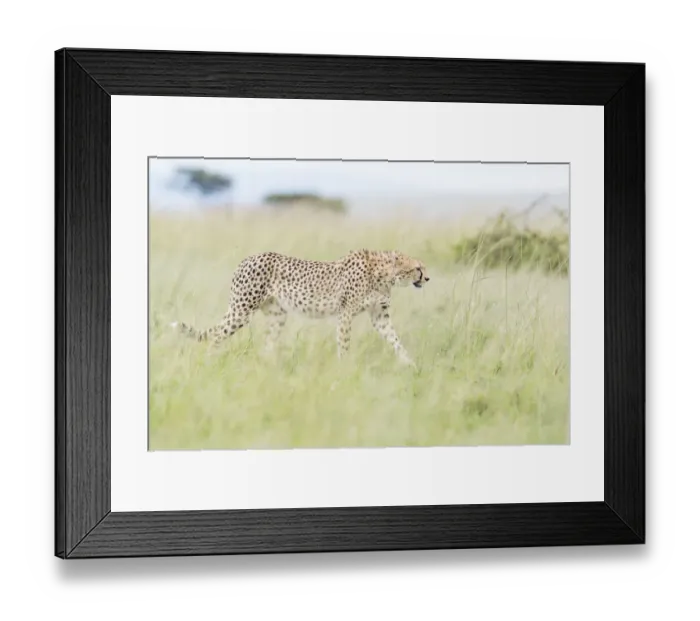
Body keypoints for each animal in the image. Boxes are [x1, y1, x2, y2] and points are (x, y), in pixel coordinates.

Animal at [171, 249, 429, 366]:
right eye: (418, 268)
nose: (427, 279)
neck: (385, 275)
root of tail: (247, 258)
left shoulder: (379, 316)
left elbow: (395, 340)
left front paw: (410, 363)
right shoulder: (345, 314)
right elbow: (344, 343)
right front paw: (344, 367)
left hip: (277, 316)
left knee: (267, 344)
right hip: (241, 310)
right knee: (216, 335)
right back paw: (209, 361)